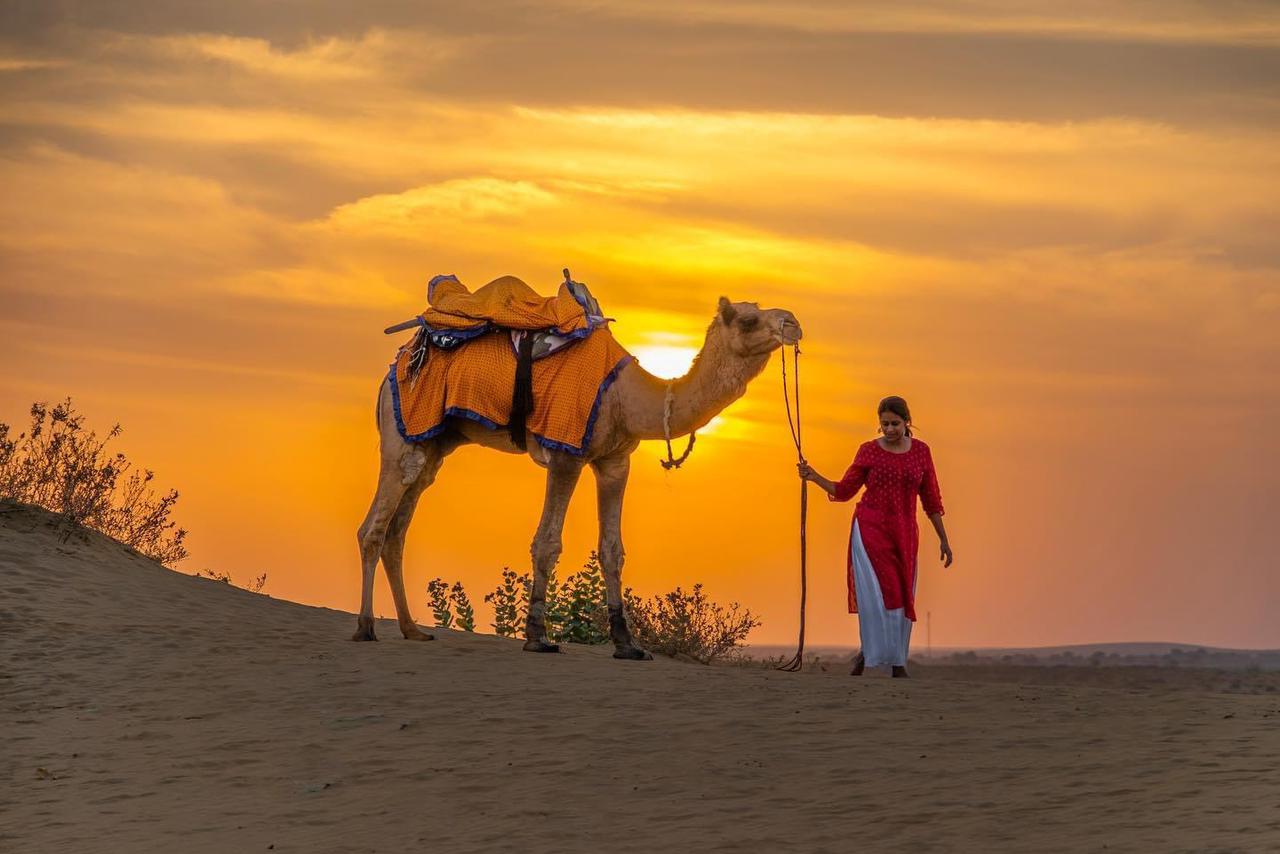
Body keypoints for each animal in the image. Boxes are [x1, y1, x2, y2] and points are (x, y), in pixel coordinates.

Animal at [353, 294, 798, 660]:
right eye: (747, 319)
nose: (792, 322)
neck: (626, 397)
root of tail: (395, 366)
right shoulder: (566, 452)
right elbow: (547, 543)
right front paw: (538, 638)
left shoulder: (615, 461)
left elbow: (612, 549)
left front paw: (627, 644)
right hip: (402, 432)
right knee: (373, 527)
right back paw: (365, 628)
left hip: (433, 443)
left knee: (398, 528)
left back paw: (412, 630)